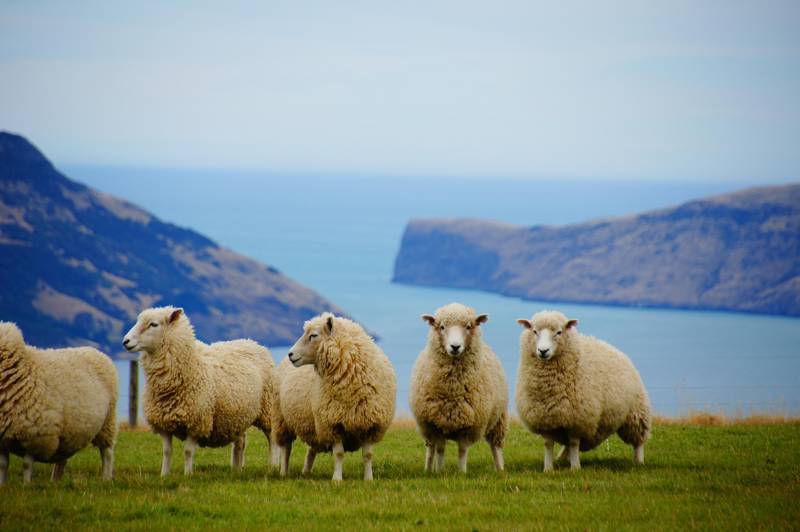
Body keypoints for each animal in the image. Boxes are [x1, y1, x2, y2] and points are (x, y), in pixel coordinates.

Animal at [0, 322, 117, 485]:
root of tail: (94, 350)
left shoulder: (36, 436)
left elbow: (26, 464)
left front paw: (26, 485)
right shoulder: (3, 438)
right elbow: (3, 465)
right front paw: (3, 485)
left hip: (107, 422)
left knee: (107, 452)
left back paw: (106, 478)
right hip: (69, 432)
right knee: (62, 458)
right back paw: (55, 481)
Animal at [122, 306, 276, 476]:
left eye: (153, 324)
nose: (125, 341)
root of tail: (252, 342)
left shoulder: (196, 422)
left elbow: (188, 451)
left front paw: (188, 475)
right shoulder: (163, 423)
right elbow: (167, 452)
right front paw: (164, 475)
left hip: (268, 409)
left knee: (272, 439)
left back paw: (272, 465)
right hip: (238, 415)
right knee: (240, 442)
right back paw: (236, 469)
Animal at [283, 312, 396, 481]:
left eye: (313, 335)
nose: (290, 354)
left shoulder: (370, 423)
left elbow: (368, 455)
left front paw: (368, 479)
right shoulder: (333, 423)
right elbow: (339, 454)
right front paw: (337, 479)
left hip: (312, 425)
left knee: (311, 450)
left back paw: (306, 472)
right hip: (282, 420)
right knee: (285, 449)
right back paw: (283, 472)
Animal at [409, 303, 508, 474]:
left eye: (468, 326)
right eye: (442, 326)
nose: (455, 347)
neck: (452, 389)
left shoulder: (469, 426)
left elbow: (462, 451)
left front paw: (462, 472)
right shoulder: (435, 424)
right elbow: (440, 449)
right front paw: (439, 471)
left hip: (499, 418)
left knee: (496, 446)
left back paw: (500, 469)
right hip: (426, 428)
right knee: (430, 449)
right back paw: (428, 469)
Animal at [515, 310, 651, 471]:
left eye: (559, 332)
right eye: (534, 331)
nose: (543, 351)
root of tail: (615, 349)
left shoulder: (579, 419)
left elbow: (574, 443)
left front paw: (575, 468)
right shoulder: (546, 418)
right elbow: (548, 444)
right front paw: (548, 469)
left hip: (636, 413)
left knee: (639, 441)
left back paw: (639, 461)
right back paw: (562, 458)